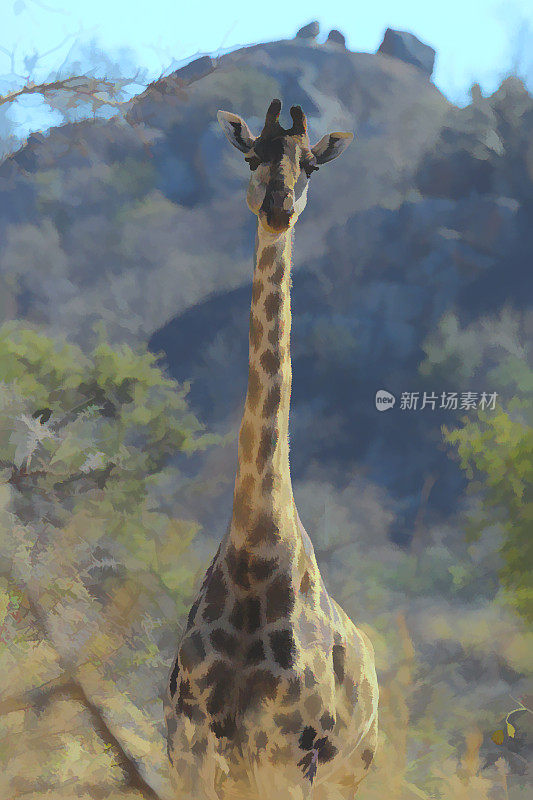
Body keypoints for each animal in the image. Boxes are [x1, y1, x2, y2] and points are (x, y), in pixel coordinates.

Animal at [164, 100, 376, 800]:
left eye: (310, 165)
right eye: (251, 155)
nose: (279, 204)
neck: (257, 544)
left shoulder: (287, 754)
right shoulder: (190, 740)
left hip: (346, 774)